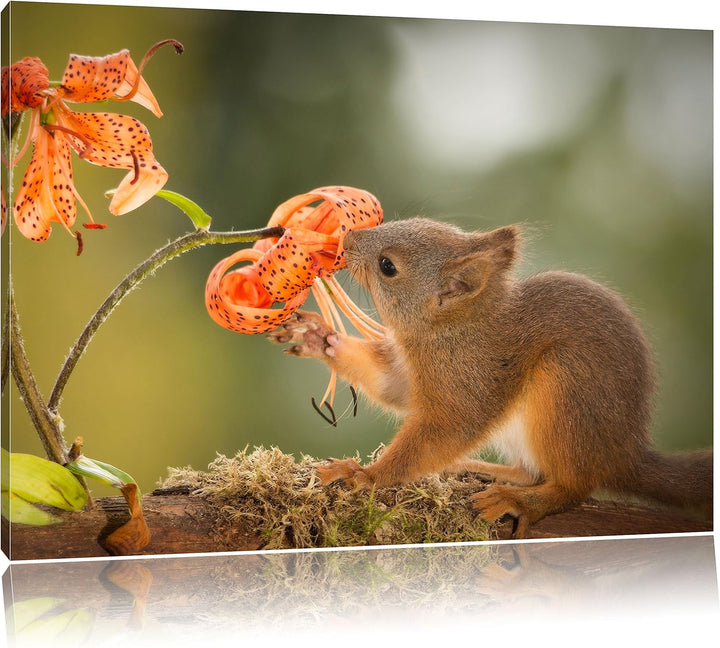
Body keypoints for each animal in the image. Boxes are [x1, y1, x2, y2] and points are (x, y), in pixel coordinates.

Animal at [268, 217, 713, 538]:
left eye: (388, 267)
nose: (347, 240)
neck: (452, 329)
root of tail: (624, 454)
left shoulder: (470, 380)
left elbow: (444, 430)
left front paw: (363, 476)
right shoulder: (414, 375)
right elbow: (393, 388)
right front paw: (319, 337)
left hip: (566, 391)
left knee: (572, 485)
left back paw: (520, 500)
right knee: (532, 472)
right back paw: (480, 470)